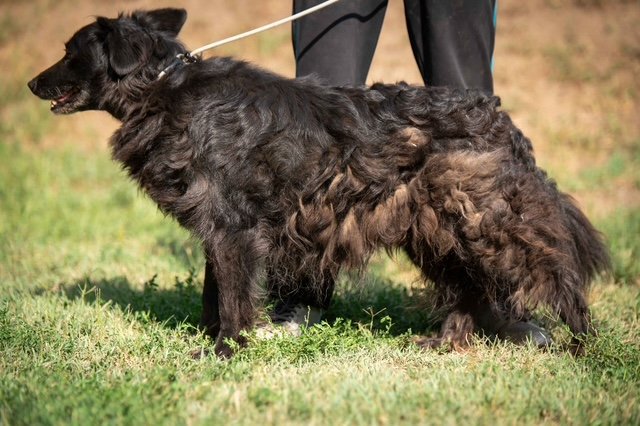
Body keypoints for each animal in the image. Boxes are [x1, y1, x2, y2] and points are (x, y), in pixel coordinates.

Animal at [28, 8, 610, 357]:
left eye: (70, 52)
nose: (31, 83)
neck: (164, 88)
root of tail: (499, 118)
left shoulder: (233, 229)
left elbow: (232, 300)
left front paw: (224, 354)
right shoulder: (220, 231)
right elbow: (216, 295)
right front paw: (219, 343)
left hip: (488, 225)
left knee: (561, 273)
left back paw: (586, 351)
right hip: (435, 230)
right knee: (468, 287)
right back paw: (444, 344)